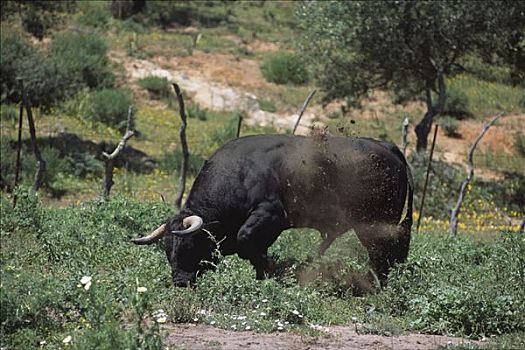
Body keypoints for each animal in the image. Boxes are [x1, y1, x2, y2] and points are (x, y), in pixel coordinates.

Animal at [132, 135, 414, 288]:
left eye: (190, 245)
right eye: (167, 248)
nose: (180, 281)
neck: (239, 173)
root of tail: (387, 146)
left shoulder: (271, 216)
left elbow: (247, 241)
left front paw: (271, 272)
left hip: (376, 224)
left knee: (382, 256)